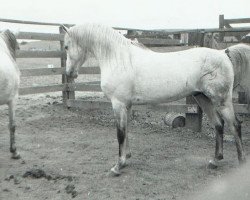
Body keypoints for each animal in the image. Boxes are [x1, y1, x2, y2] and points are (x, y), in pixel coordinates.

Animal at [61, 23, 249, 175]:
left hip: (221, 101)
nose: (69, 73)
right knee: (219, 125)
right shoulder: (126, 106)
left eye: (66, 46)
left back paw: (240, 161)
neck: (119, 58)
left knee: (235, 125)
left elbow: (120, 133)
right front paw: (127, 158)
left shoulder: (118, 104)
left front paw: (118, 166)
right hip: (203, 99)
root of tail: (223, 53)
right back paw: (215, 161)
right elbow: (126, 130)